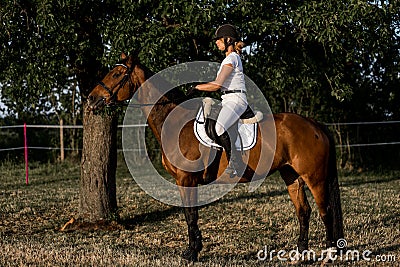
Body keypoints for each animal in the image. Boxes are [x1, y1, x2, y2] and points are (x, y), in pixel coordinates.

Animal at [87, 52, 344, 264]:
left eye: (117, 74)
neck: (176, 124)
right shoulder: (184, 181)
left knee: (325, 211)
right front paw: (194, 249)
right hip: (291, 175)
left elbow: (190, 215)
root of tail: (314, 124)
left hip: (315, 178)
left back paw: (329, 254)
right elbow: (190, 215)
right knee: (304, 211)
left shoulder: (186, 179)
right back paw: (300, 254)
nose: (91, 99)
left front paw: (192, 253)